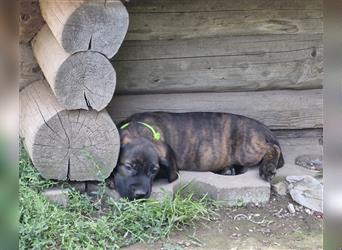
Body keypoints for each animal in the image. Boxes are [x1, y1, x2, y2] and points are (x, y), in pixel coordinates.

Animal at [109, 112, 284, 200]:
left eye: (154, 171)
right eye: (129, 166)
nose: (140, 195)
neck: (141, 128)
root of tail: (261, 127)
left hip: (247, 150)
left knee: (272, 147)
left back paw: (267, 168)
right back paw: (228, 169)